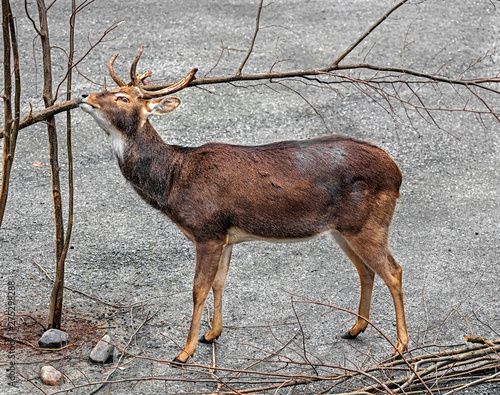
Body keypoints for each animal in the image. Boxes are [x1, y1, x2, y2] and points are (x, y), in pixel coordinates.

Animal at [76, 47, 408, 366]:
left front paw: (185, 352)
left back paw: (400, 346)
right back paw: (355, 328)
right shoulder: (225, 235)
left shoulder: (207, 229)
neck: (174, 179)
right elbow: (219, 283)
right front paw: (212, 334)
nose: (83, 95)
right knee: (366, 270)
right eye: (106, 89)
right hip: (343, 228)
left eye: (122, 97)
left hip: (367, 223)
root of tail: (396, 173)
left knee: (393, 270)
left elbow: (198, 288)